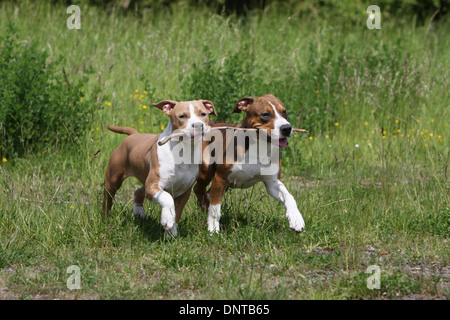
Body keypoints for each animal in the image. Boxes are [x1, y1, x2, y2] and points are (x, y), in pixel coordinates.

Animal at [103, 99, 216, 236]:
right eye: (182, 116)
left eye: (203, 114)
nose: (198, 125)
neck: (183, 151)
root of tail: (134, 134)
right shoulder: (153, 185)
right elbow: (167, 198)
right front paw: (167, 220)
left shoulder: (184, 192)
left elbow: (177, 213)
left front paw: (171, 232)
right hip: (113, 179)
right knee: (108, 199)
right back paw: (105, 219)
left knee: (138, 191)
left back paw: (139, 212)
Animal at [194, 94, 306, 234]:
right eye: (265, 114)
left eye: (284, 111)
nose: (286, 128)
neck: (258, 146)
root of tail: (210, 124)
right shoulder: (221, 178)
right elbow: (215, 207)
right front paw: (213, 229)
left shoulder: (272, 183)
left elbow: (289, 196)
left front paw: (296, 218)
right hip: (206, 172)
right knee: (199, 190)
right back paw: (204, 208)